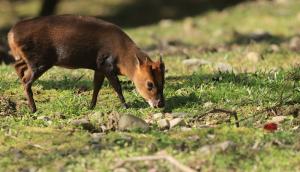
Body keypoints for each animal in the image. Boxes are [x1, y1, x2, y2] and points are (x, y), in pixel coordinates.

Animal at [7, 14, 165, 113]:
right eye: (149, 84)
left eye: (163, 82)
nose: (160, 104)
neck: (122, 55)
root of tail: (11, 33)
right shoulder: (106, 65)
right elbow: (117, 87)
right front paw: (125, 106)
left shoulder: (99, 67)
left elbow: (96, 87)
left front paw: (91, 106)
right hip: (39, 61)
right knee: (27, 81)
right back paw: (33, 109)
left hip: (28, 59)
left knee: (18, 67)